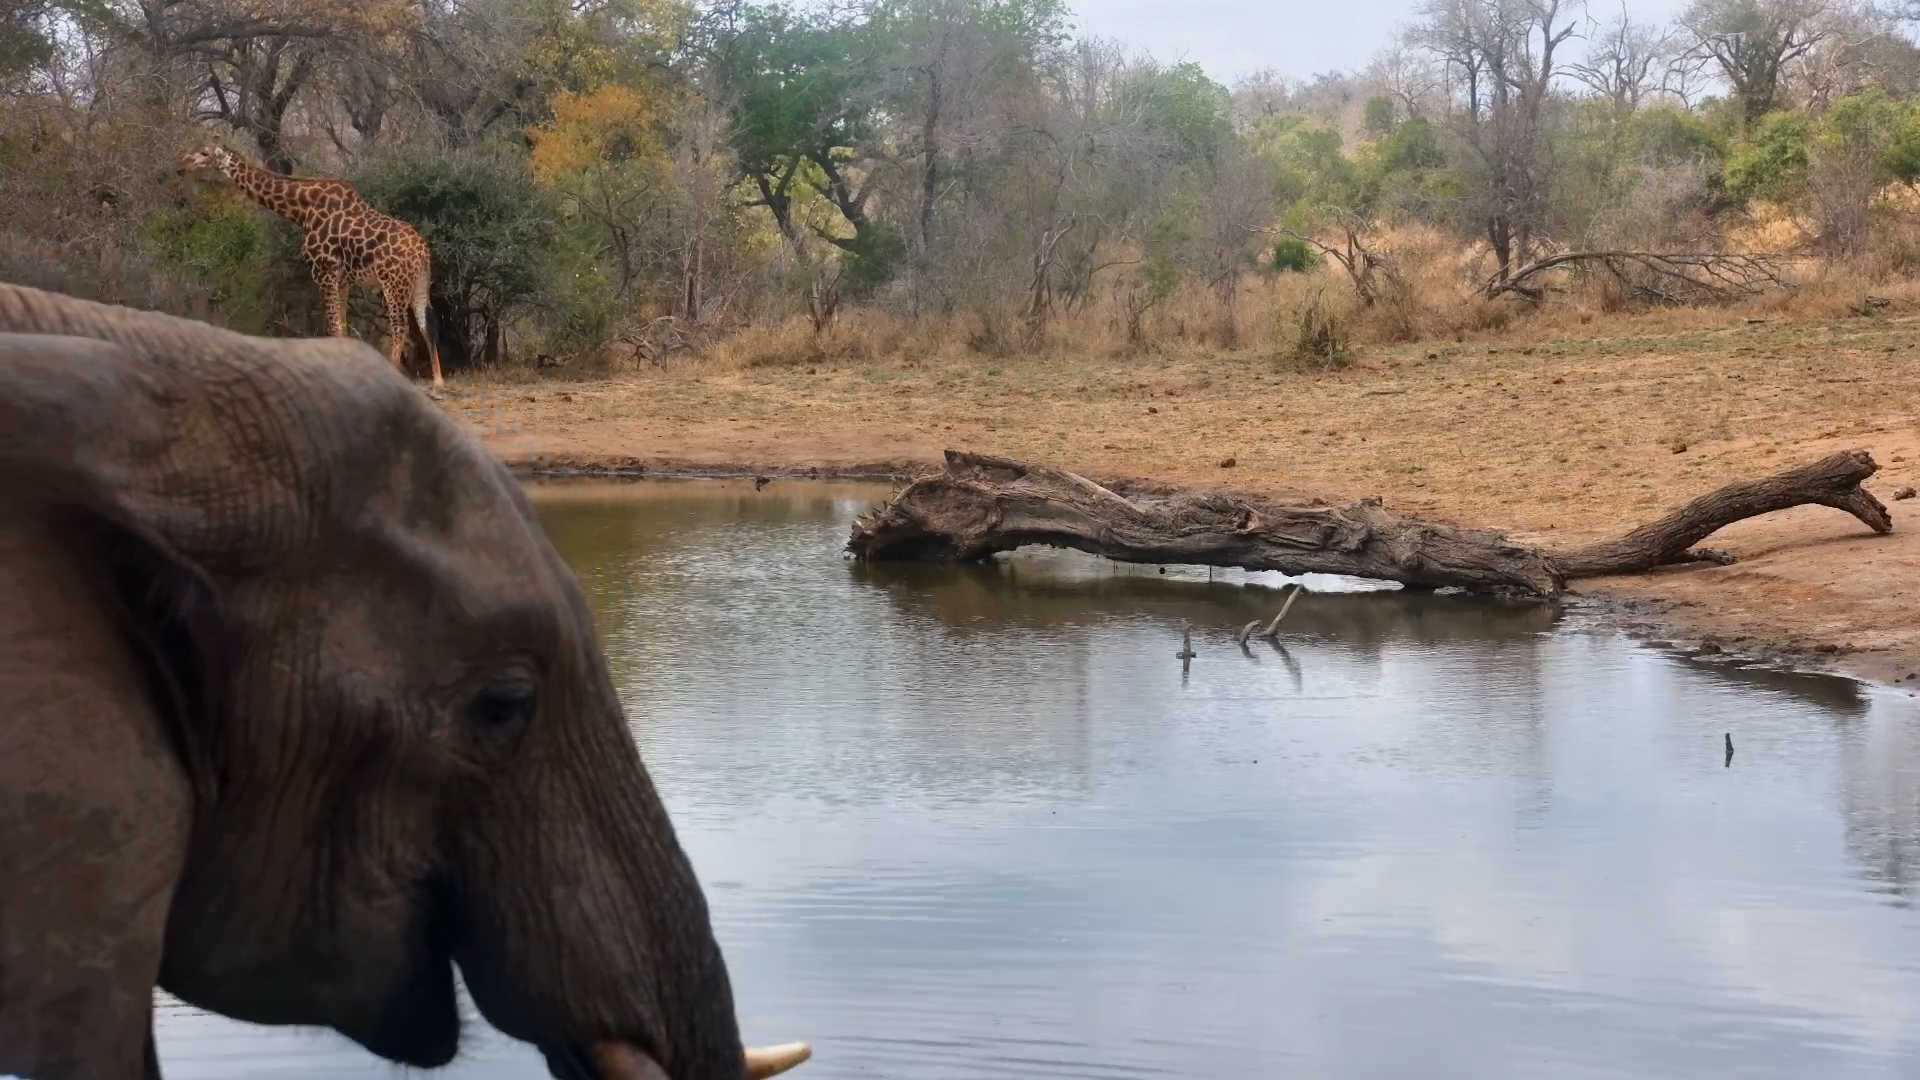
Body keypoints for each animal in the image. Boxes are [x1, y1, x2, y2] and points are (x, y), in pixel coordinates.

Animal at [176, 144, 443, 388]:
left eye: (205, 153)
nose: (181, 166)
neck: (301, 210)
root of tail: (423, 252)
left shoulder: (323, 270)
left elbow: (333, 326)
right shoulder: (343, 278)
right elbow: (342, 325)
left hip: (394, 284)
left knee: (400, 327)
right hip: (418, 283)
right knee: (426, 323)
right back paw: (438, 380)